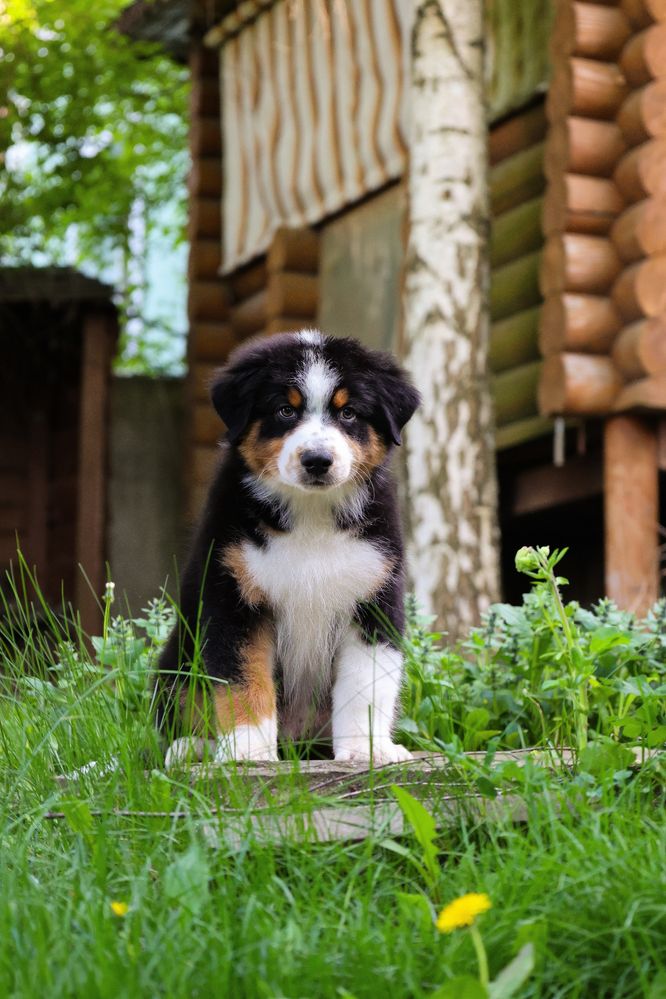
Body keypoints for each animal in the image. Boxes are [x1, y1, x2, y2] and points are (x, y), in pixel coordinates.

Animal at [156, 332, 418, 768]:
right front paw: (248, 752)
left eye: (348, 413)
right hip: (178, 658)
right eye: (284, 410)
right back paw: (192, 749)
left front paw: (367, 750)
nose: (317, 460)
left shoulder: (374, 597)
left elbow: (366, 684)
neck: (311, 515)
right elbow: (244, 681)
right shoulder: (230, 594)